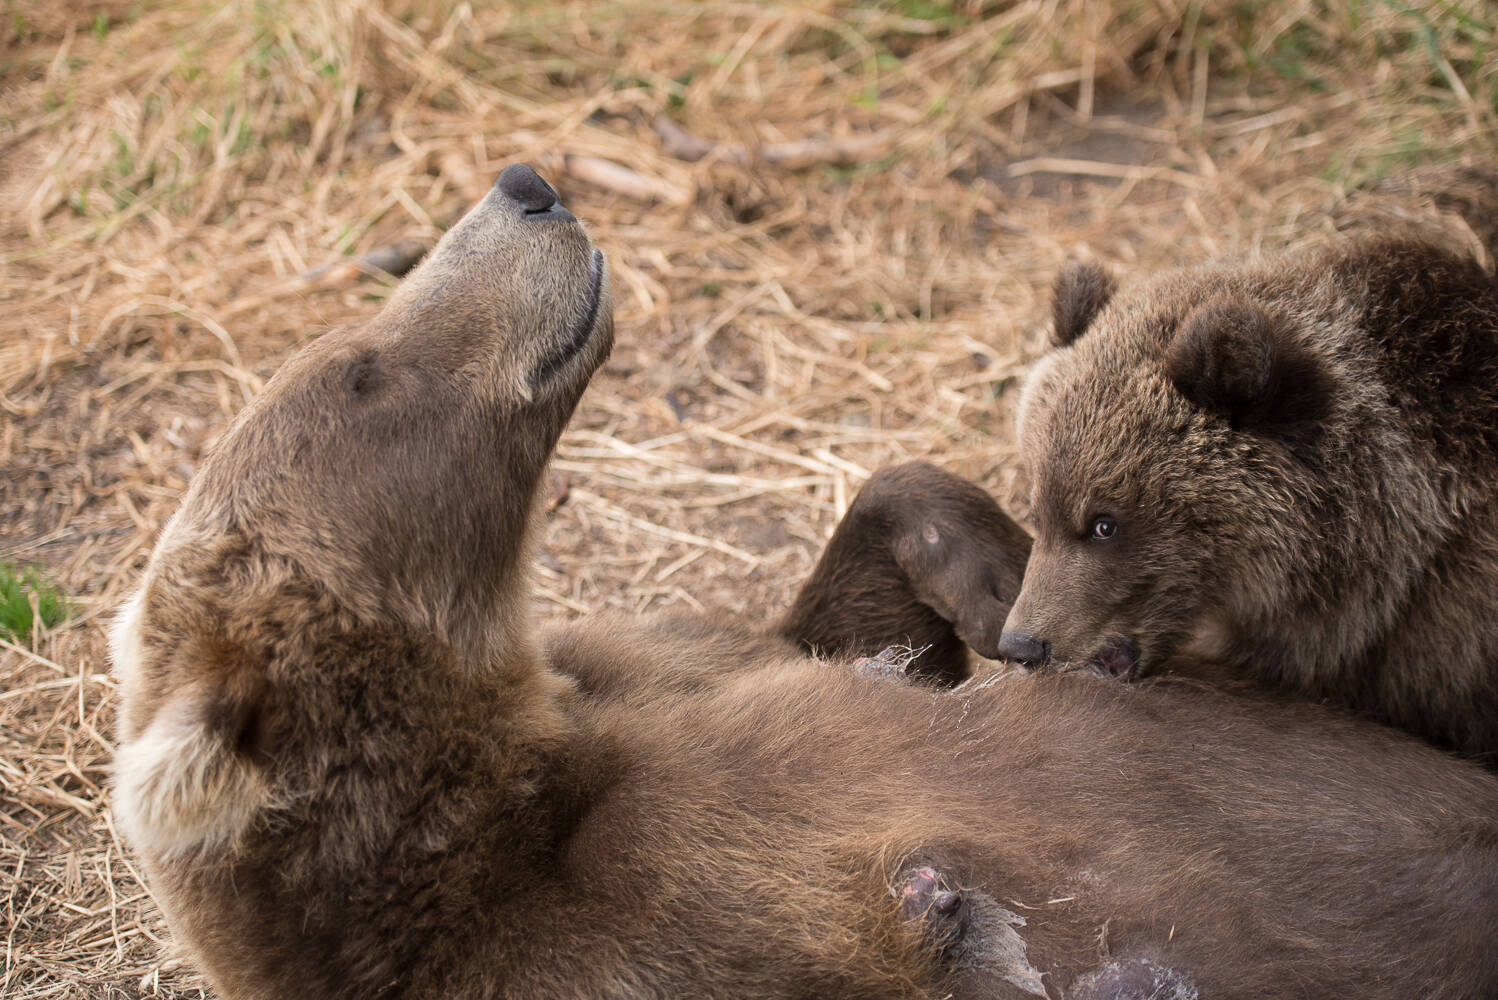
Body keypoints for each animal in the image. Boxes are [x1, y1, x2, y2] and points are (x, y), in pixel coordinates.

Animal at [110, 167, 1498, 999]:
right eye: (359, 372)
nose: (524, 187)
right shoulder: (617, 940)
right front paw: (965, 921)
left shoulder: (674, 675)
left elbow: (850, 615)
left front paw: (991, 580)